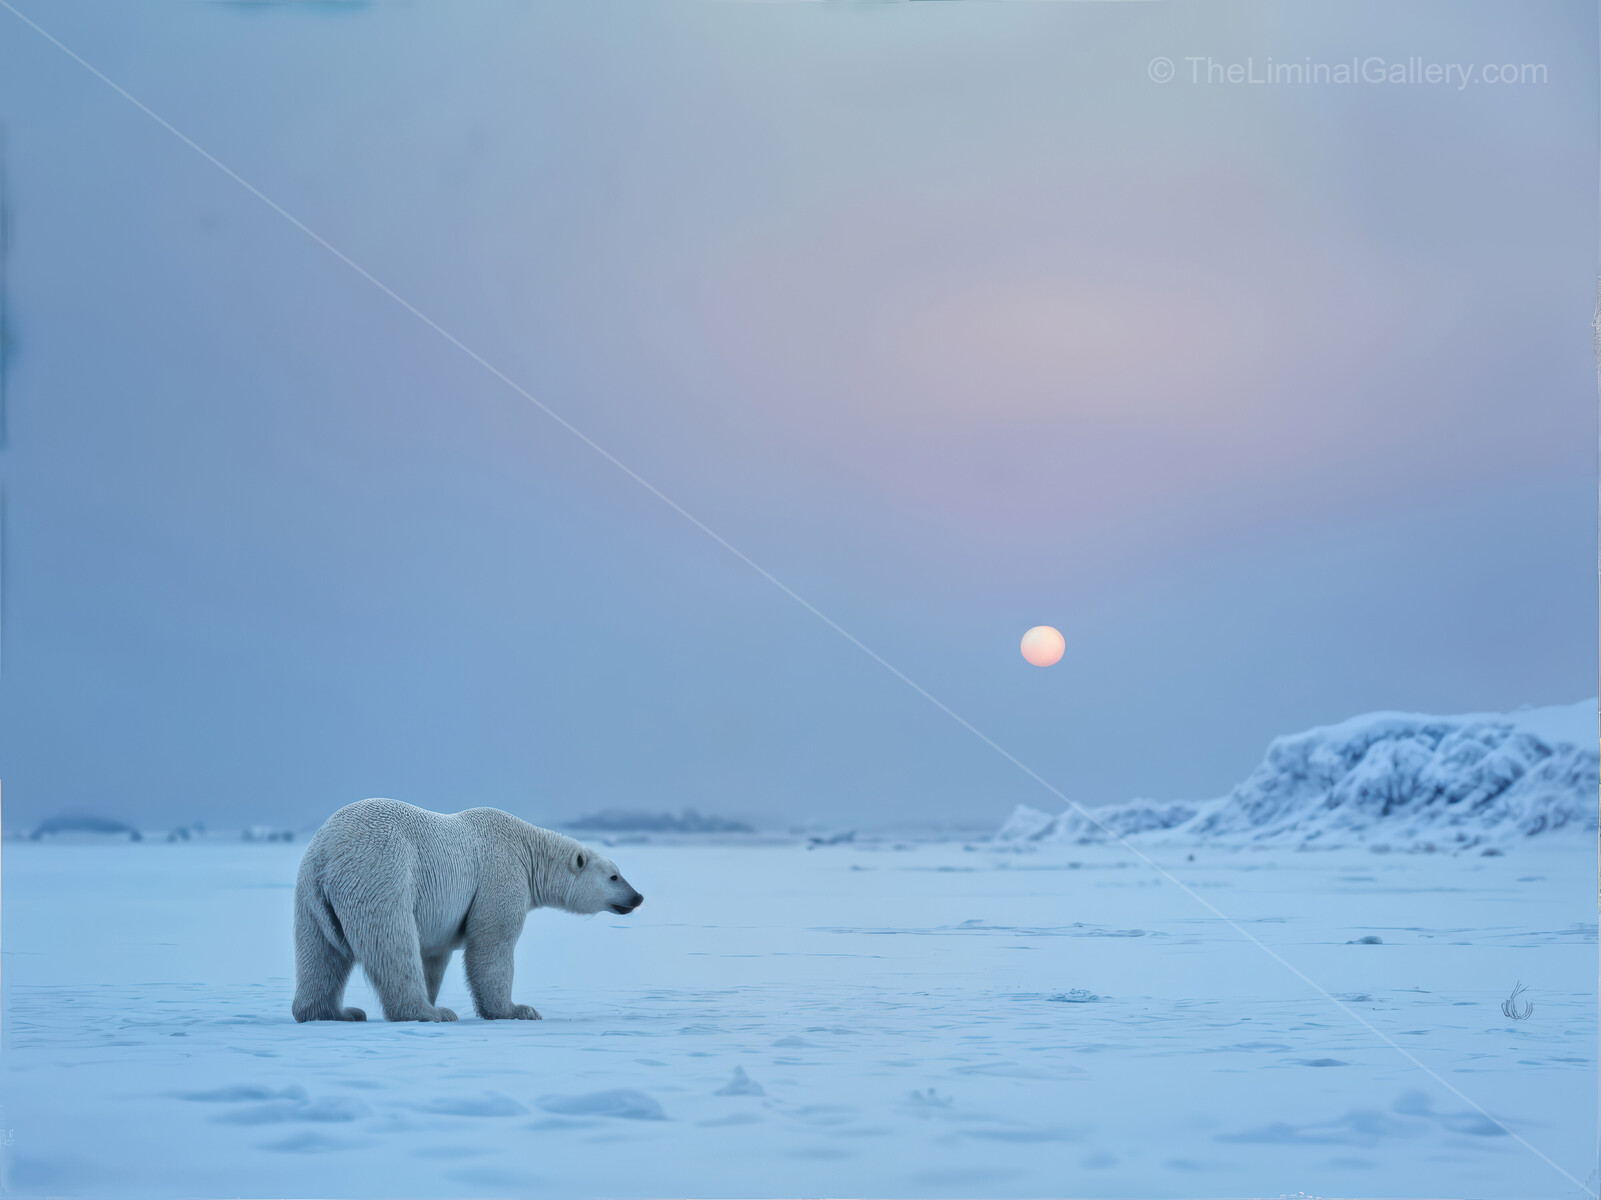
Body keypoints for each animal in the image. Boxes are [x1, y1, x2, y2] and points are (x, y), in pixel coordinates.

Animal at [291, 798, 644, 1023]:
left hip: (309, 895)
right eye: (614, 876)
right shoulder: (500, 873)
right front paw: (517, 1010)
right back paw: (429, 1013)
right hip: (379, 869)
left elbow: (434, 956)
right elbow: (491, 945)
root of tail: (326, 855)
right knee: (392, 942)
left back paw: (334, 1012)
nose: (637, 897)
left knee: (319, 955)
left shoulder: (441, 916)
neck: (527, 850)